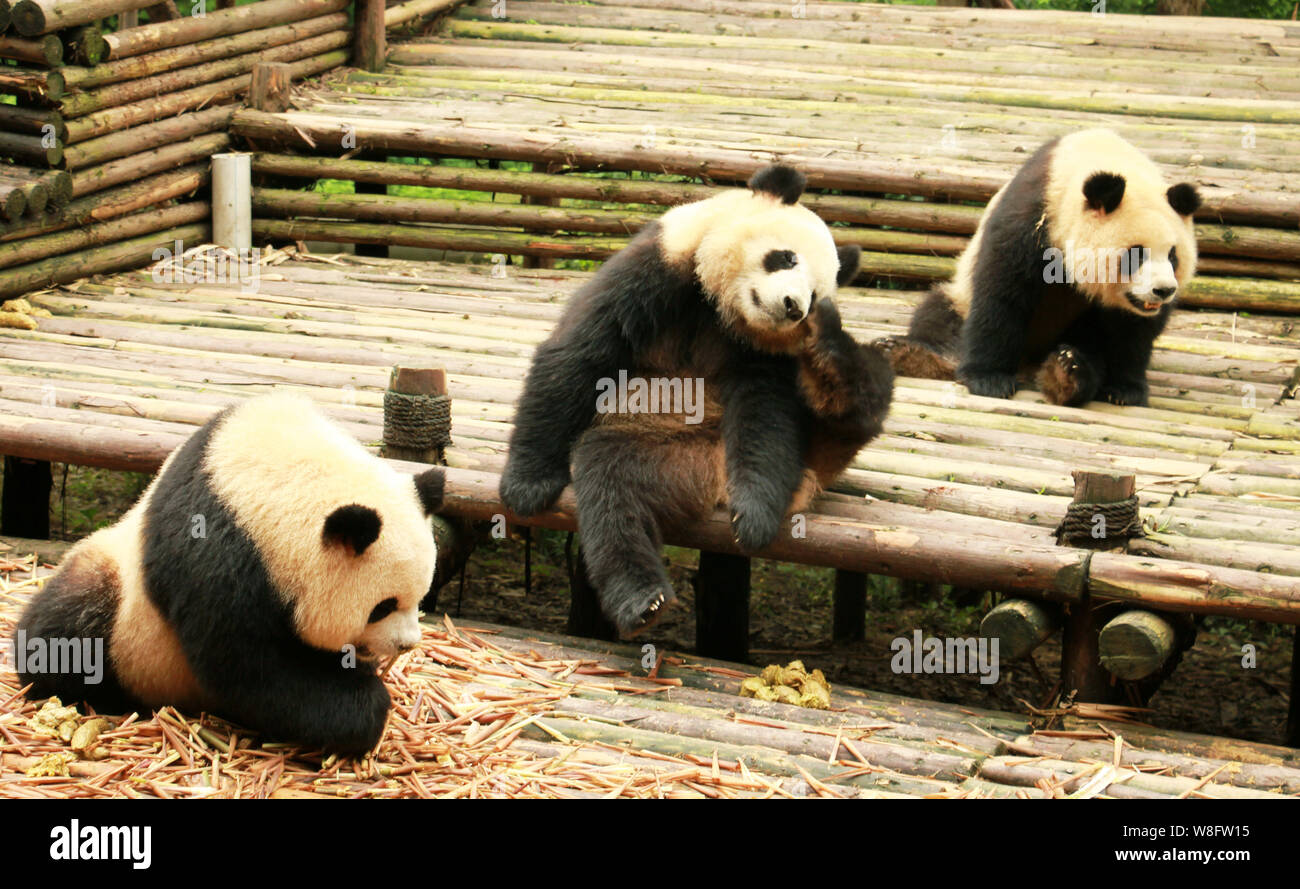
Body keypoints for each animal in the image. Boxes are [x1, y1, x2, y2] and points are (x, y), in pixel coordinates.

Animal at [13, 395, 447, 759]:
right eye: (382, 607)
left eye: (420, 596)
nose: (407, 644)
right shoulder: (216, 557)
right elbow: (248, 669)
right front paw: (365, 708)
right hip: (122, 609)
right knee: (68, 628)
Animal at [496, 166, 894, 634]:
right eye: (786, 257)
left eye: (815, 293)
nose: (794, 307)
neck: (721, 306)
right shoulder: (660, 266)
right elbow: (581, 350)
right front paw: (527, 485)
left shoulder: (766, 354)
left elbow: (765, 407)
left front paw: (755, 516)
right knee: (612, 487)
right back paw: (642, 600)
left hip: (706, 455)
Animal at [878, 128, 1201, 405]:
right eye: (1136, 254)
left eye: (1173, 255)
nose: (1163, 290)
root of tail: (1028, 362)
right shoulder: (1033, 214)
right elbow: (1002, 292)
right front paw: (990, 379)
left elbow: (1133, 331)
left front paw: (1125, 389)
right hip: (959, 299)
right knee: (937, 316)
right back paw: (907, 354)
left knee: (1088, 347)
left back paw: (1066, 372)